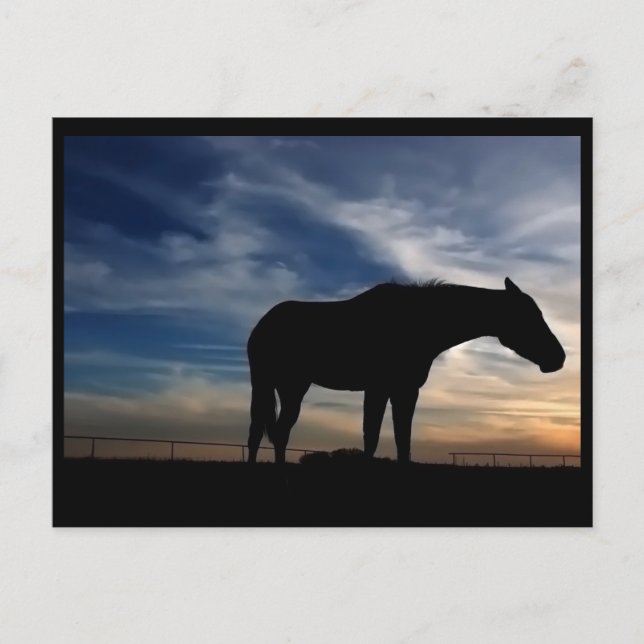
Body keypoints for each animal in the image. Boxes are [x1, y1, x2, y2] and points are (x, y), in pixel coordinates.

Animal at [246, 277, 566, 464]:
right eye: (529, 316)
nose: (559, 358)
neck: (416, 322)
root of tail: (262, 323)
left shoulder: (405, 390)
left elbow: (403, 440)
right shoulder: (378, 388)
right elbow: (372, 437)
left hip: (289, 387)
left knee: (276, 432)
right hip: (274, 384)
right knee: (263, 433)